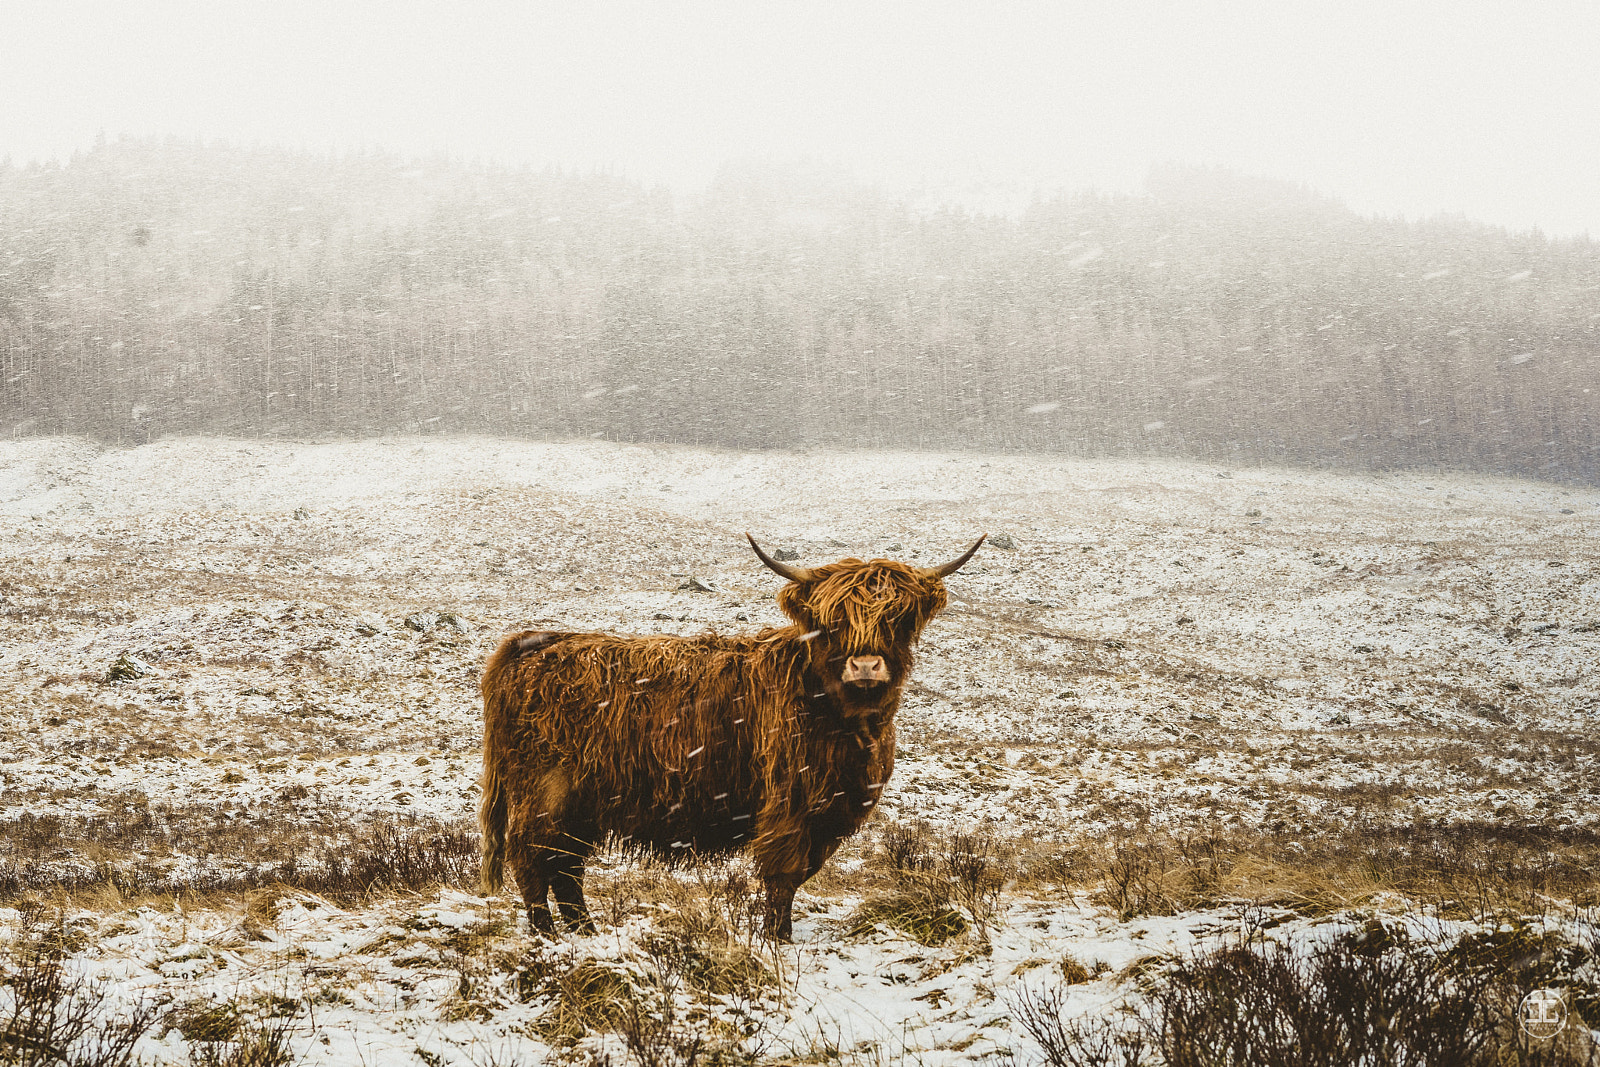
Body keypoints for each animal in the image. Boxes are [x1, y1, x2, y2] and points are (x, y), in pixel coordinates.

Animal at [478, 532, 984, 940]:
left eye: (898, 618)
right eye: (832, 621)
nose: (864, 666)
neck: (843, 718)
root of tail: (535, 643)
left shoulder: (832, 811)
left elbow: (804, 870)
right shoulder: (787, 802)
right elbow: (784, 874)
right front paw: (778, 939)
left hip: (581, 801)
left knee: (565, 865)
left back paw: (584, 931)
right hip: (545, 791)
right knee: (532, 858)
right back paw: (548, 936)